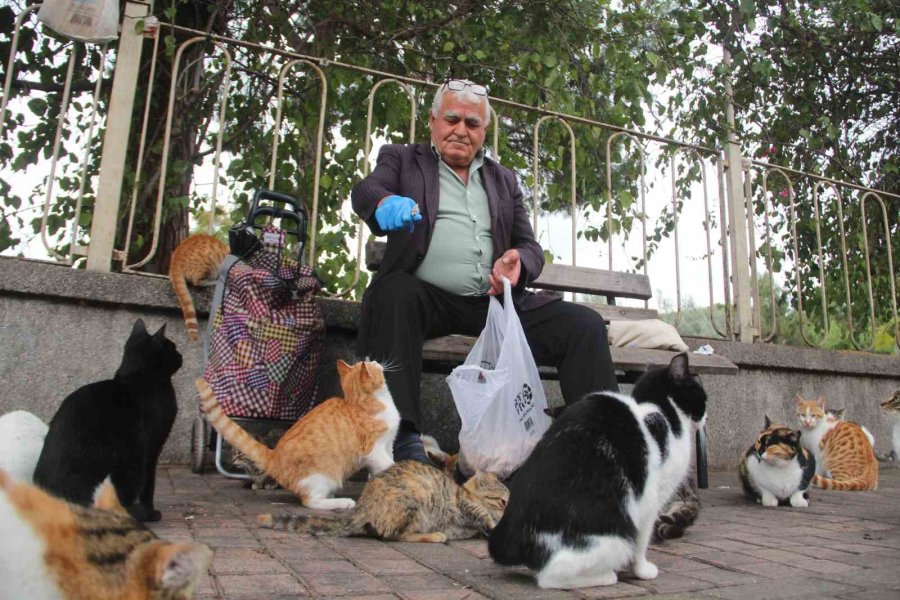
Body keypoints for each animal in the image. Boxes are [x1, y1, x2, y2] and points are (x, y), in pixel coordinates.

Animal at [33, 318, 181, 520]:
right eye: (173, 347)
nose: (181, 356)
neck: (136, 376)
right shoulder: (152, 449)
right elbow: (149, 486)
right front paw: (151, 512)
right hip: (131, 464)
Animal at [197, 358, 400, 508]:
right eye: (373, 364)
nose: (376, 360)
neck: (362, 403)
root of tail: (274, 455)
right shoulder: (373, 450)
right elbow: (389, 464)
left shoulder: (387, 445)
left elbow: (385, 466)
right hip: (323, 475)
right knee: (310, 501)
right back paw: (342, 502)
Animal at [256, 460, 510, 544]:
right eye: (502, 502)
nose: (509, 510)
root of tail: (362, 508)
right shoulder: (463, 504)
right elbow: (480, 512)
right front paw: (494, 522)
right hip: (416, 496)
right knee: (397, 536)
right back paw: (434, 535)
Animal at [488, 354, 708, 588]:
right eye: (701, 395)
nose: (706, 417)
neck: (661, 413)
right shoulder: (649, 501)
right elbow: (641, 542)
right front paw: (642, 570)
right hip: (614, 538)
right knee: (550, 577)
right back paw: (606, 576)